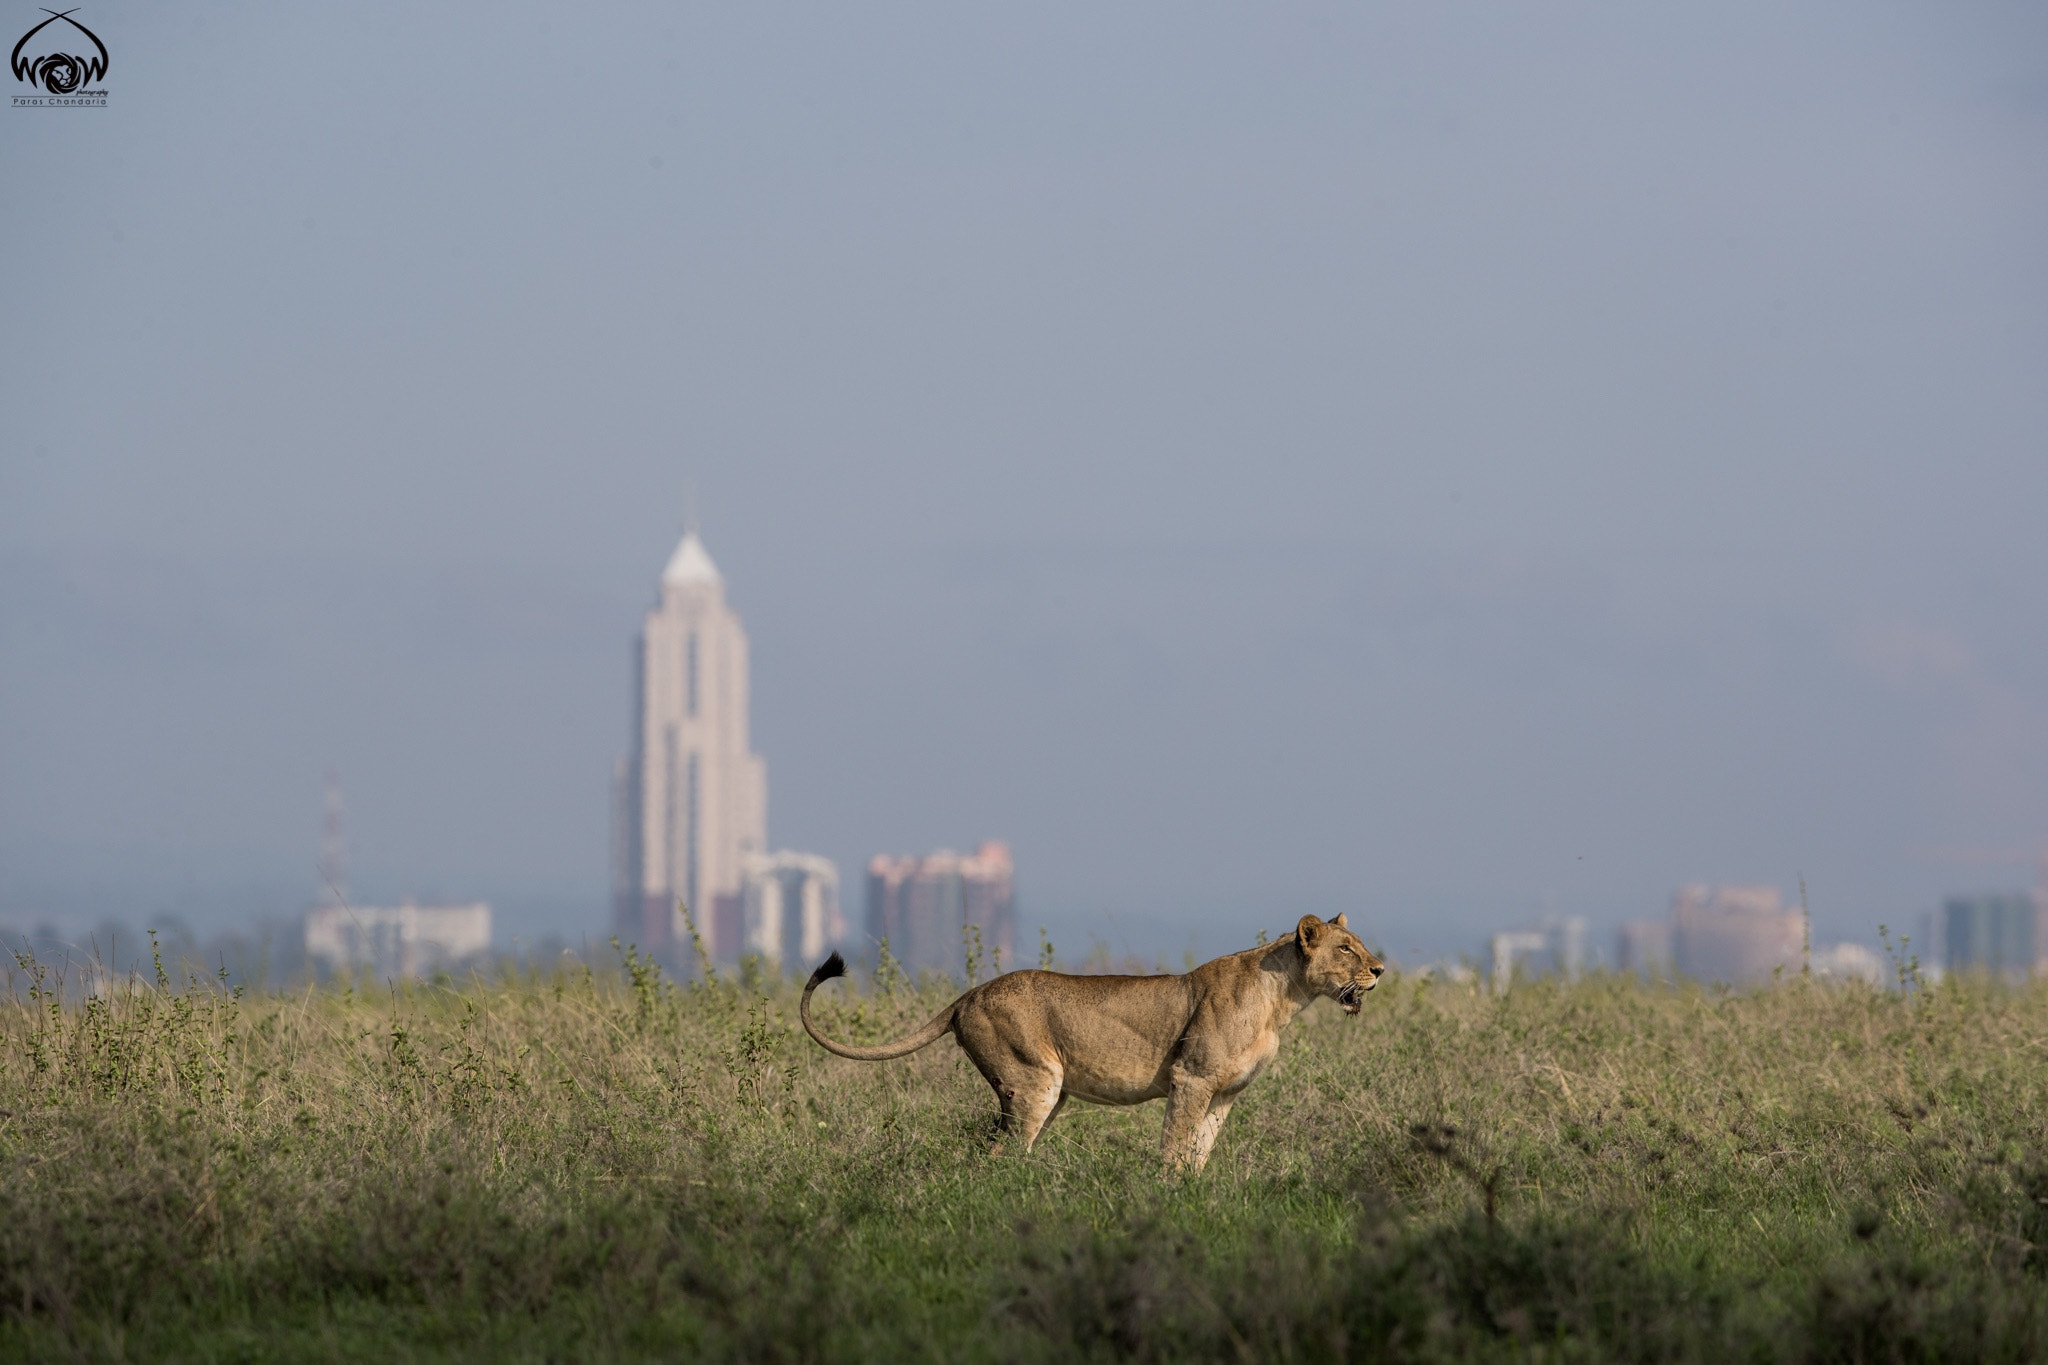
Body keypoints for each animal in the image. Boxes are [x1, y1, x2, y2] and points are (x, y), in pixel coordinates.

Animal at [799, 913, 1384, 1172]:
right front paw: (1167, 1198)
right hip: (1034, 1079)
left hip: (1045, 1091)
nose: (1379, 969)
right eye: (1346, 949)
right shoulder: (1190, 1077)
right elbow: (1175, 1145)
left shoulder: (1224, 1093)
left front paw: (1196, 1194)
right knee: (999, 1154)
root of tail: (967, 995)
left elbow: (1201, 1150)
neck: (1284, 999)